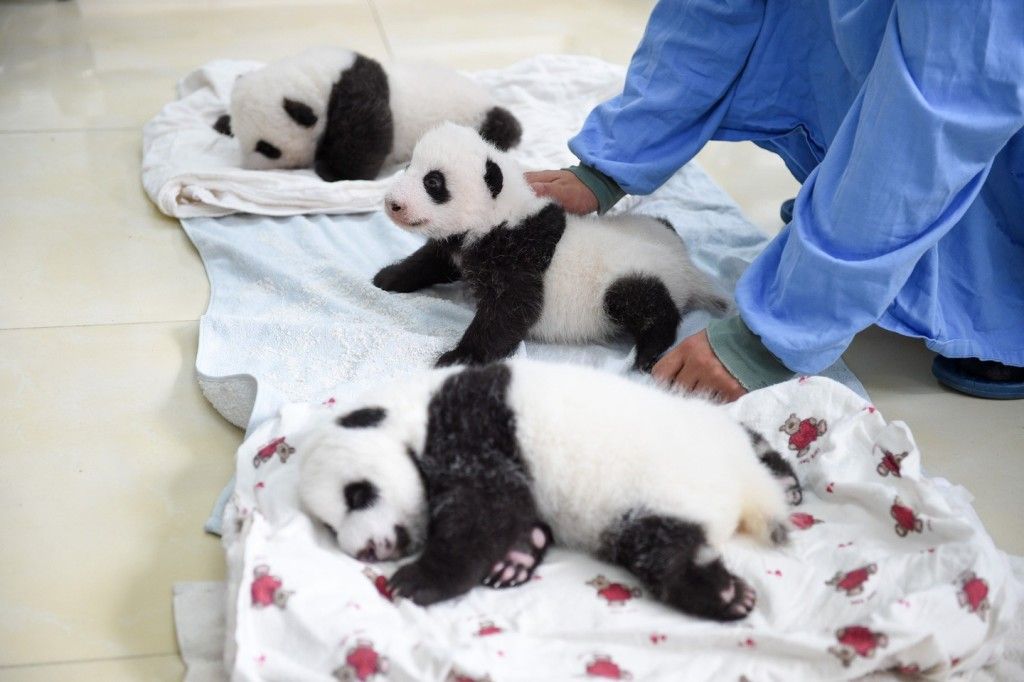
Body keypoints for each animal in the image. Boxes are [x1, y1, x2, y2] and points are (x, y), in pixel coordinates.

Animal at [214, 47, 522, 182]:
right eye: (240, 138)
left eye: (267, 148)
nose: (248, 168)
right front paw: (221, 122)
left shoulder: (356, 94)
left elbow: (366, 138)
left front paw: (330, 170)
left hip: (474, 117)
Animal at [297, 359, 802, 621]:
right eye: (328, 526)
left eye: (357, 495)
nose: (365, 550)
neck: (413, 409)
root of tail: (748, 487)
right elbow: (513, 515)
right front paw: (516, 558)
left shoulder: (473, 428)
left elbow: (484, 511)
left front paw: (417, 580)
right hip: (708, 436)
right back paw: (785, 486)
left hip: (663, 486)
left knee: (664, 549)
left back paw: (726, 594)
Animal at [374, 123, 728, 371]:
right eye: (408, 168)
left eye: (433, 182)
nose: (393, 204)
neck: (501, 215)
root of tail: (687, 268)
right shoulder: (464, 244)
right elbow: (431, 260)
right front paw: (388, 277)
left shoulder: (518, 253)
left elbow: (512, 309)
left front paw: (457, 357)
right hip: (655, 226)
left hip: (631, 280)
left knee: (647, 305)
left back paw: (649, 351)